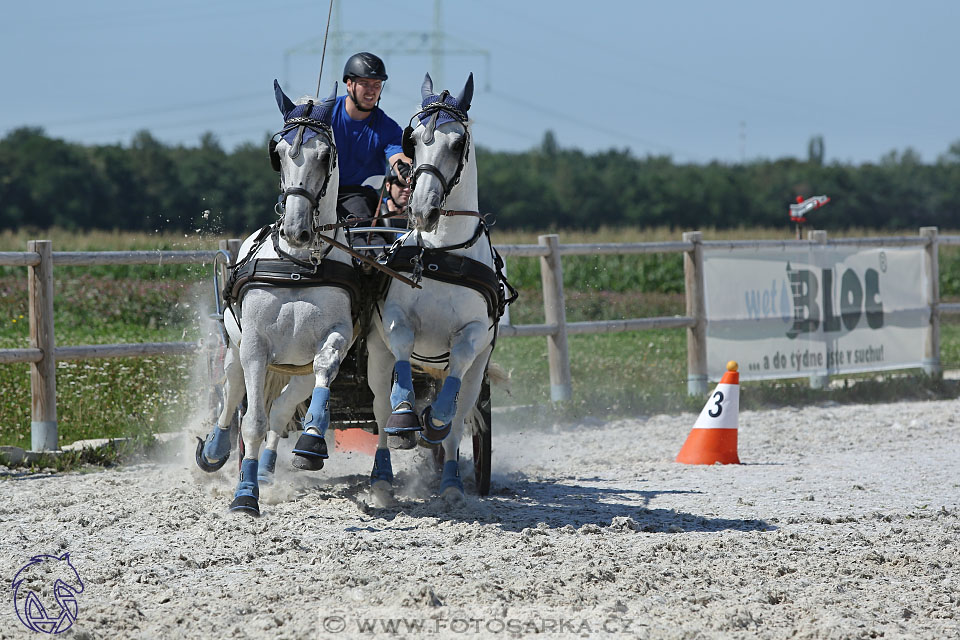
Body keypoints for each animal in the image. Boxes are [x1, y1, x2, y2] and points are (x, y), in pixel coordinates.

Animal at [364, 74, 510, 500]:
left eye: (458, 143)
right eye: (413, 140)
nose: (423, 210)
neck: (443, 251)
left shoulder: (474, 336)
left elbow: (452, 404)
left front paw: (435, 420)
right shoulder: (393, 321)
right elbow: (401, 350)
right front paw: (406, 417)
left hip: (475, 374)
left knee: (460, 417)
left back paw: (450, 481)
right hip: (375, 358)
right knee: (380, 410)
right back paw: (382, 478)